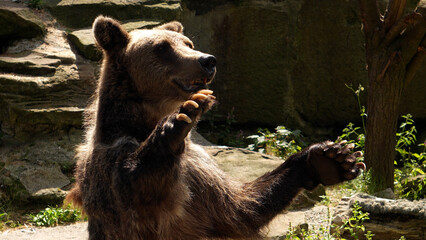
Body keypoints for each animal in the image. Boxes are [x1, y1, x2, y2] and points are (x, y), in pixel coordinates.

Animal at [67, 15, 366, 239]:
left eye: (188, 43)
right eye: (162, 47)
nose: (207, 60)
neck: (145, 121)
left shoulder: (200, 173)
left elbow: (240, 209)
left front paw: (331, 157)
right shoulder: (108, 162)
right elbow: (135, 184)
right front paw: (183, 115)